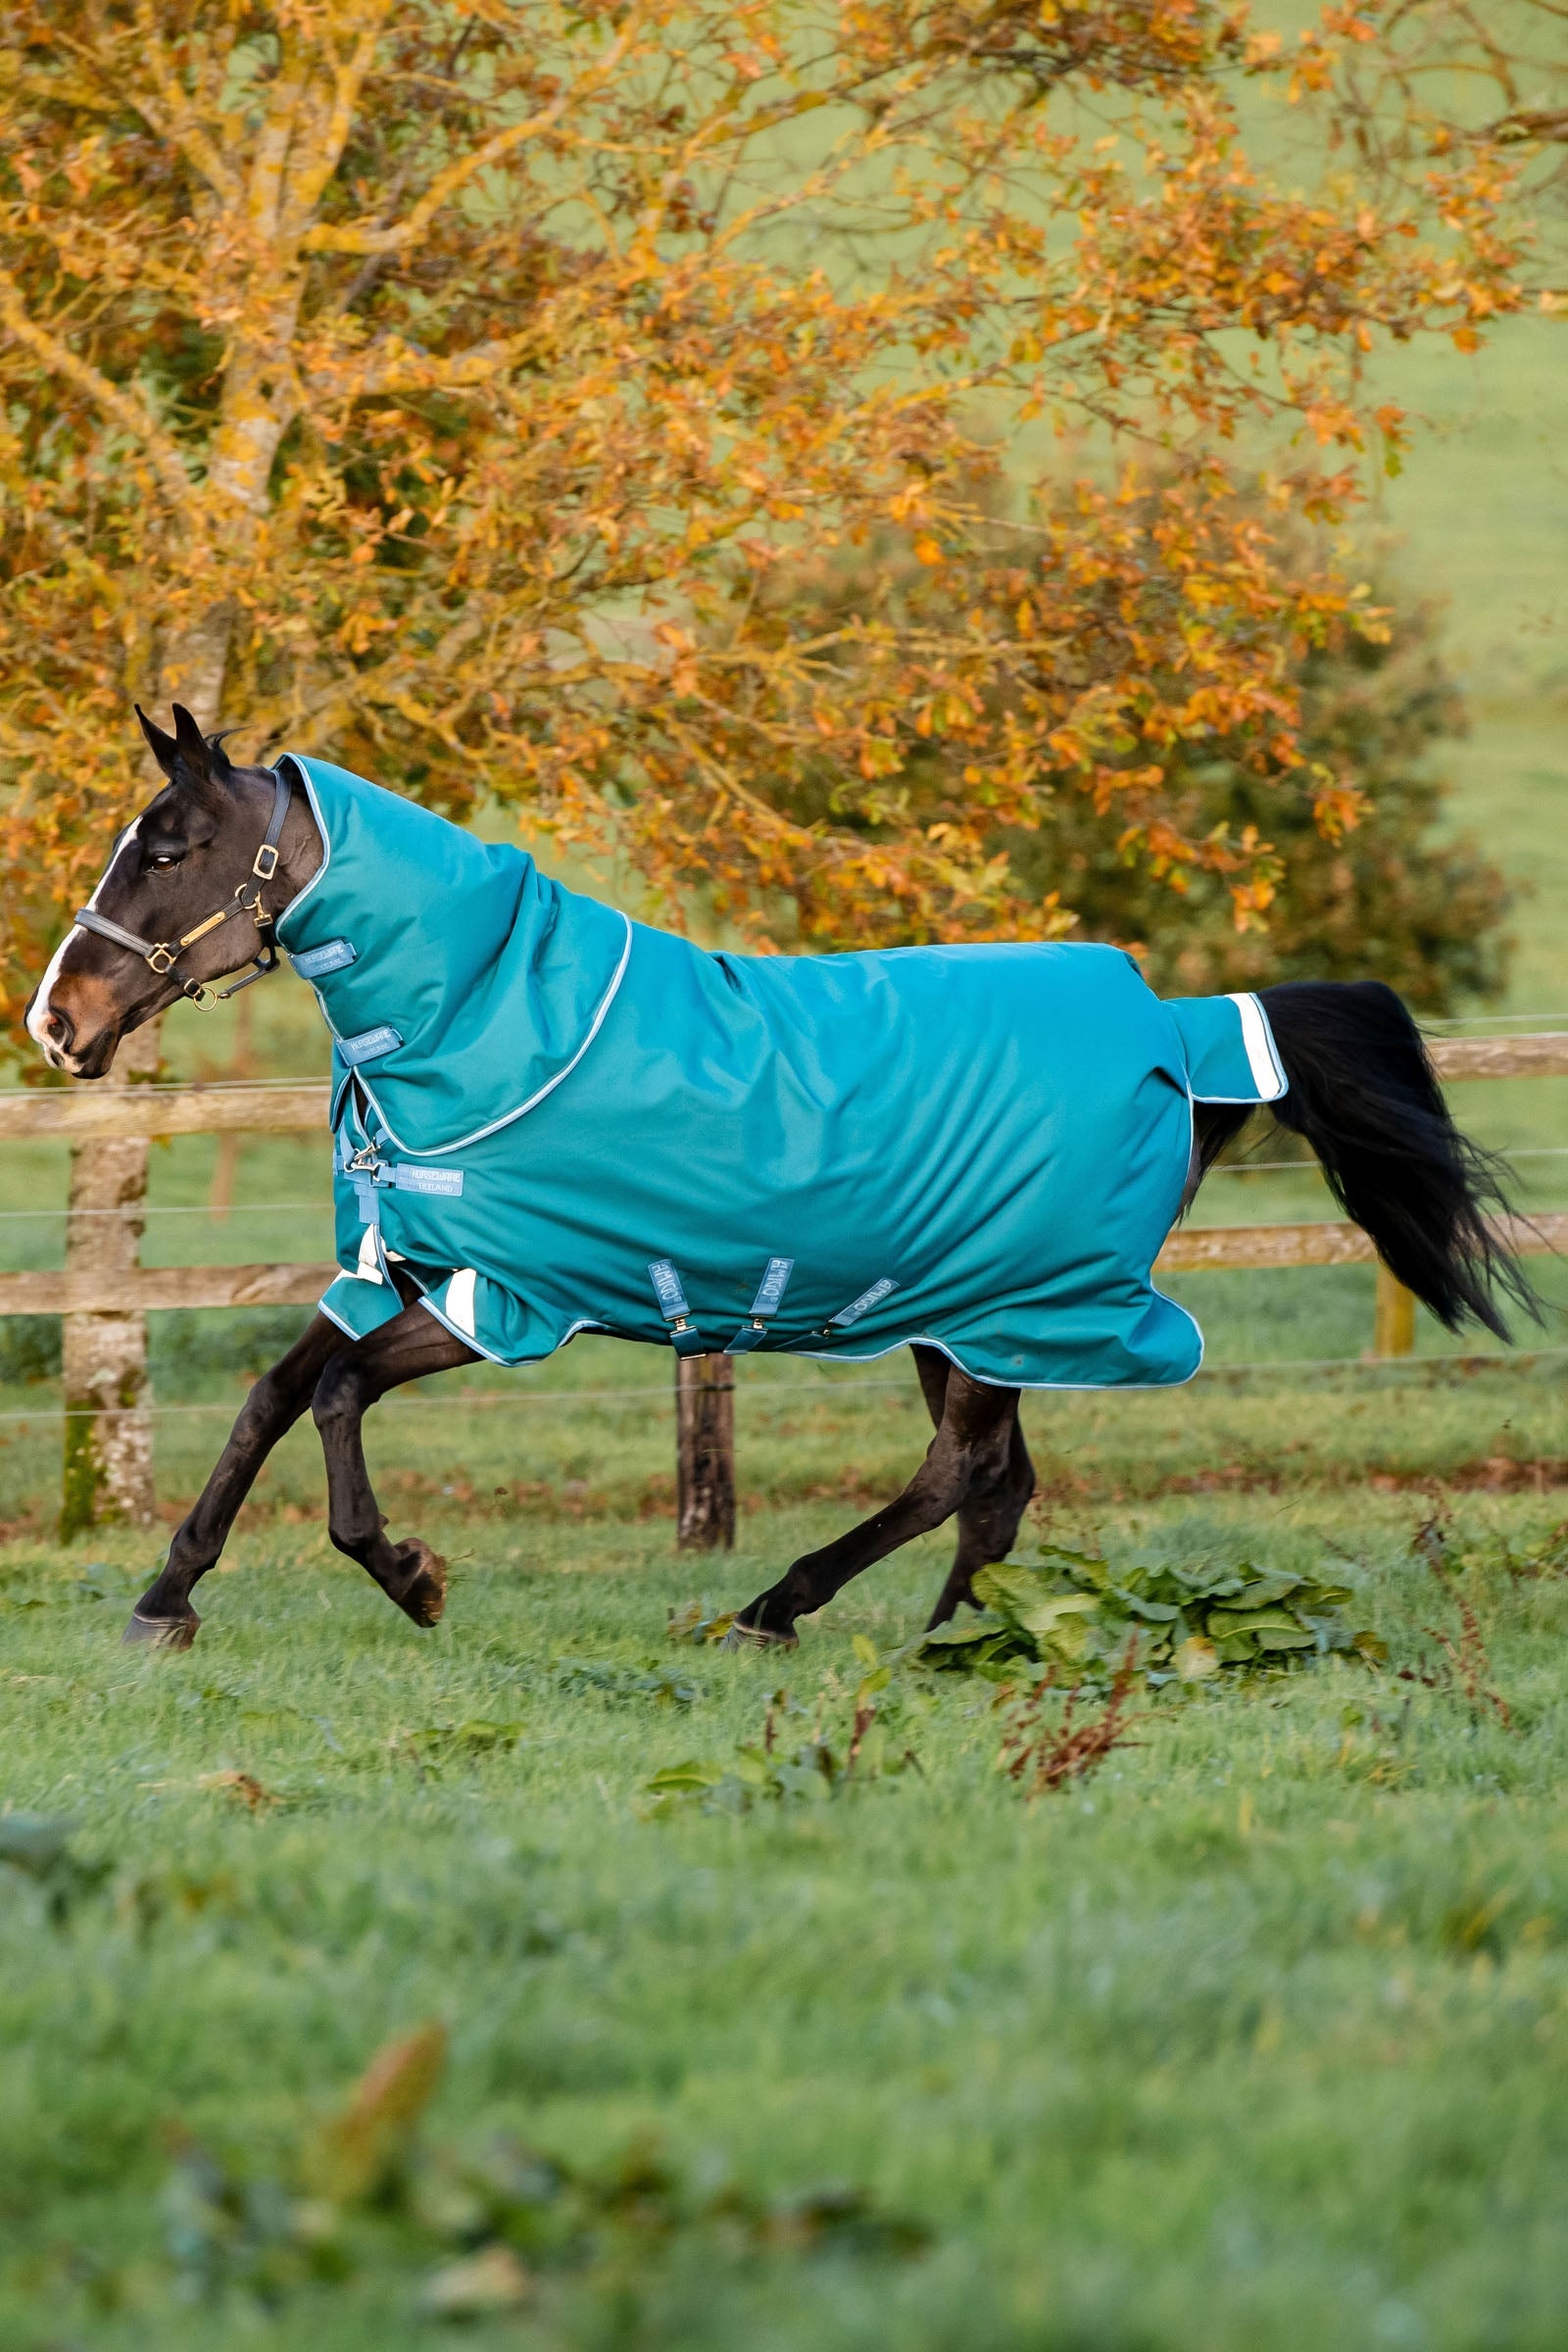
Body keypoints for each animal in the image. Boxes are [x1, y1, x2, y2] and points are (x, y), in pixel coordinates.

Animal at [27, 705, 1534, 1652]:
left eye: (167, 850)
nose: (57, 1020)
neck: (492, 1017)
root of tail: (1183, 1028)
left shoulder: (504, 1298)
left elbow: (336, 1396)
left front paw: (411, 1577)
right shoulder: (404, 1271)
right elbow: (270, 1398)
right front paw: (165, 1601)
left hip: (1003, 1310)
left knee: (960, 1474)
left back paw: (784, 1612)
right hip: (958, 1314)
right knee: (994, 1489)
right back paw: (945, 1639)